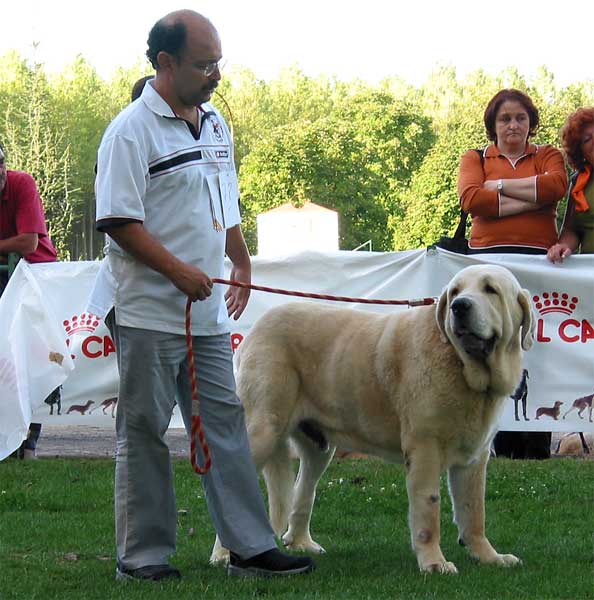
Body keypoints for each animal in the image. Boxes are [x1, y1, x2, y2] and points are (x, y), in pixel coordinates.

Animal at [212, 264, 532, 576]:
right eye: (455, 291)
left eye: (490, 290)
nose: (459, 306)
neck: (464, 367)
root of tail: (258, 326)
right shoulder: (424, 449)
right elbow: (429, 507)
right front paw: (433, 563)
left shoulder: (474, 458)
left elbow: (474, 511)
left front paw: (489, 556)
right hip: (263, 430)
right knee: (235, 489)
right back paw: (225, 554)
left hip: (318, 449)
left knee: (303, 492)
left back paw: (301, 543)